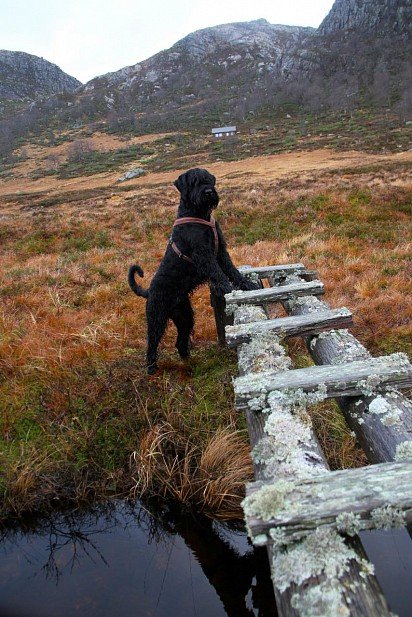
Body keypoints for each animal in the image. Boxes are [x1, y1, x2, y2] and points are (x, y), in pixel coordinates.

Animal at [129, 166, 258, 372]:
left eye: (208, 180)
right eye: (194, 182)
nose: (209, 192)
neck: (199, 214)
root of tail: (148, 291)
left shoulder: (220, 249)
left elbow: (231, 269)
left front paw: (247, 284)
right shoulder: (203, 254)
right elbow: (219, 274)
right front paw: (230, 290)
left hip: (184, 316)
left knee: (180, 341)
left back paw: (189, 362)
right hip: (157, 316)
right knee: (152, 341)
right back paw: (151, 368)